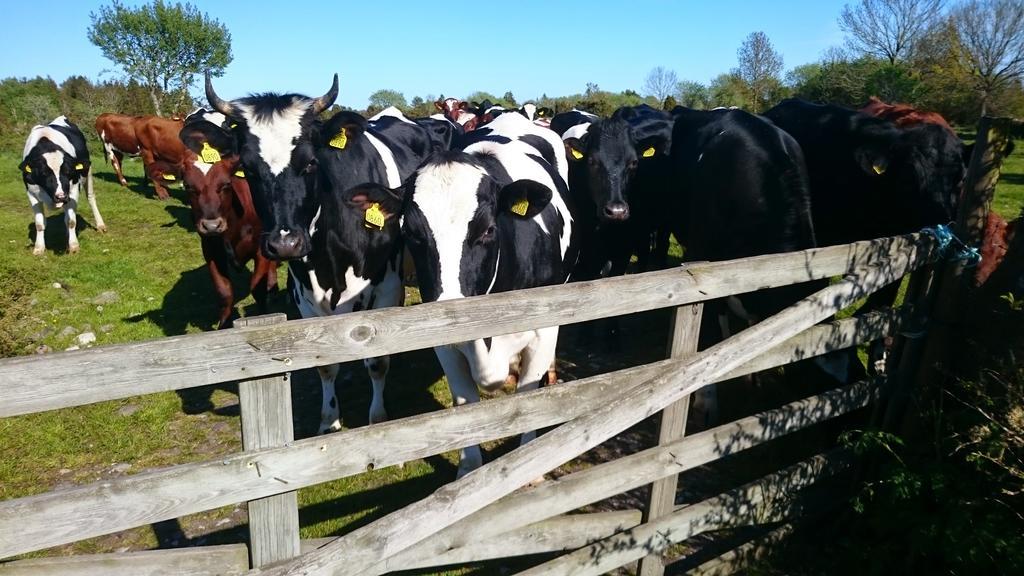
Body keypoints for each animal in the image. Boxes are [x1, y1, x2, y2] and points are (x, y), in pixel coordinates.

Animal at [176, 113, 278, 327]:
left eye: (225, 184)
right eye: (188, 186)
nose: (212, 225)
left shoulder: (261, 247)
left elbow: (257, 288)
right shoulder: (211, 250)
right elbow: (224, 293)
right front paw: (224, 325)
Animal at [207, 72, 432, 430]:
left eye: (311, 162)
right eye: (248, 169)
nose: (285, 243)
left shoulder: (385, 289)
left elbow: (377, 360)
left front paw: (377, 419)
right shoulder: (305, 297)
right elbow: (325, 365)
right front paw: (329, 422)